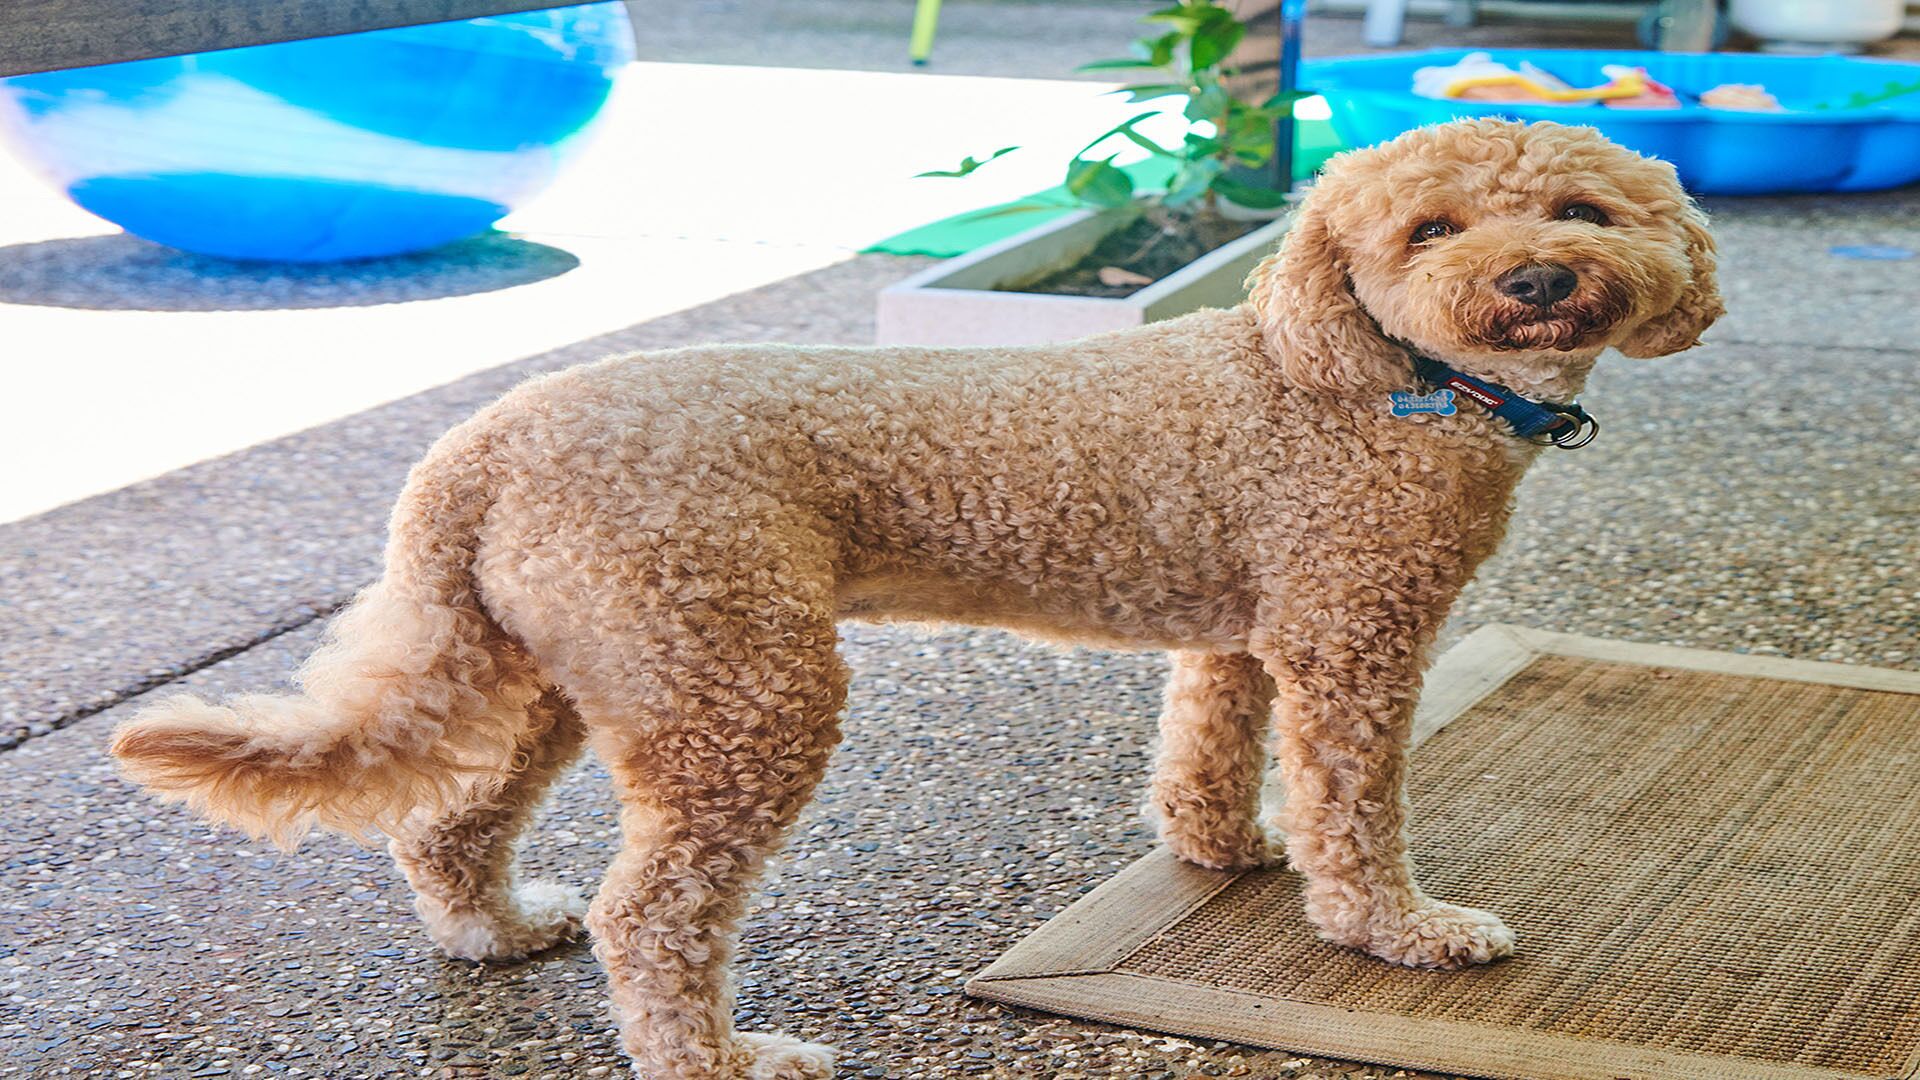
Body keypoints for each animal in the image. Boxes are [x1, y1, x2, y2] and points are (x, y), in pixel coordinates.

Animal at [108, 117, 1728, 1076]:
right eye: (1429, 233)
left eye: (1582, 206)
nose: (1536, 277)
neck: (1377, 377)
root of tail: (479, 441)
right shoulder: (1356, 640)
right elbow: (1359, 811)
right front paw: (1398, 932)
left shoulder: (1247, 630)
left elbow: (1208, 753)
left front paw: (1225, 851)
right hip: (742, 694)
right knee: (654, 914)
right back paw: (722, 1060)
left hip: (574, 668)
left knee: (449, 821)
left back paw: (492, 933)